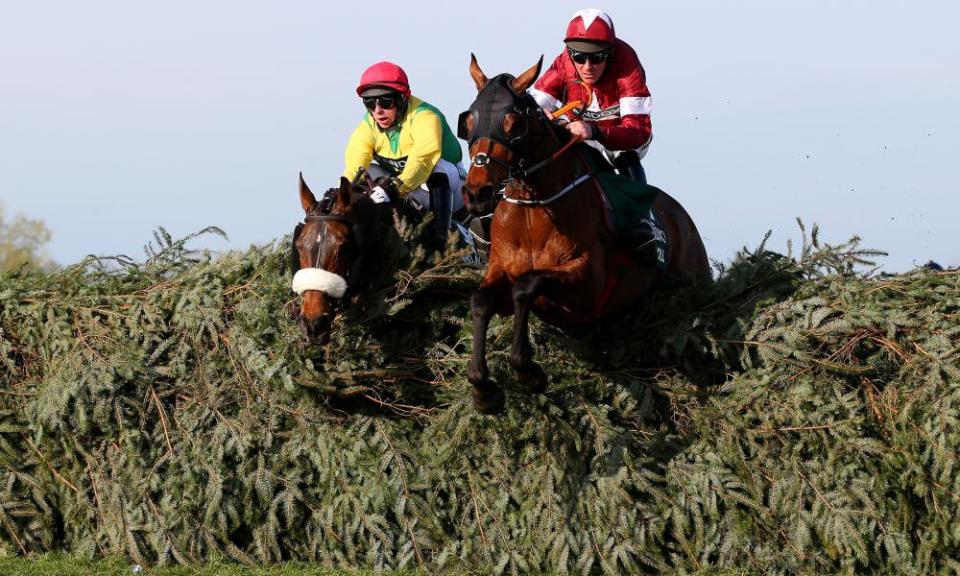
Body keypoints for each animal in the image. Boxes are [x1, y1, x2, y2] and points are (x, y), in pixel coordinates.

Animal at [458, 56, 712, 412]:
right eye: (469, 120)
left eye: (515, 124)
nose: (477, 192)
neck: (533, 209)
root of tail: (684, 220)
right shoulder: (501, 270)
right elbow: (481, 301)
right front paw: (483, 388)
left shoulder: (589, 283)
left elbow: (527, 285)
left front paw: (527, 370)